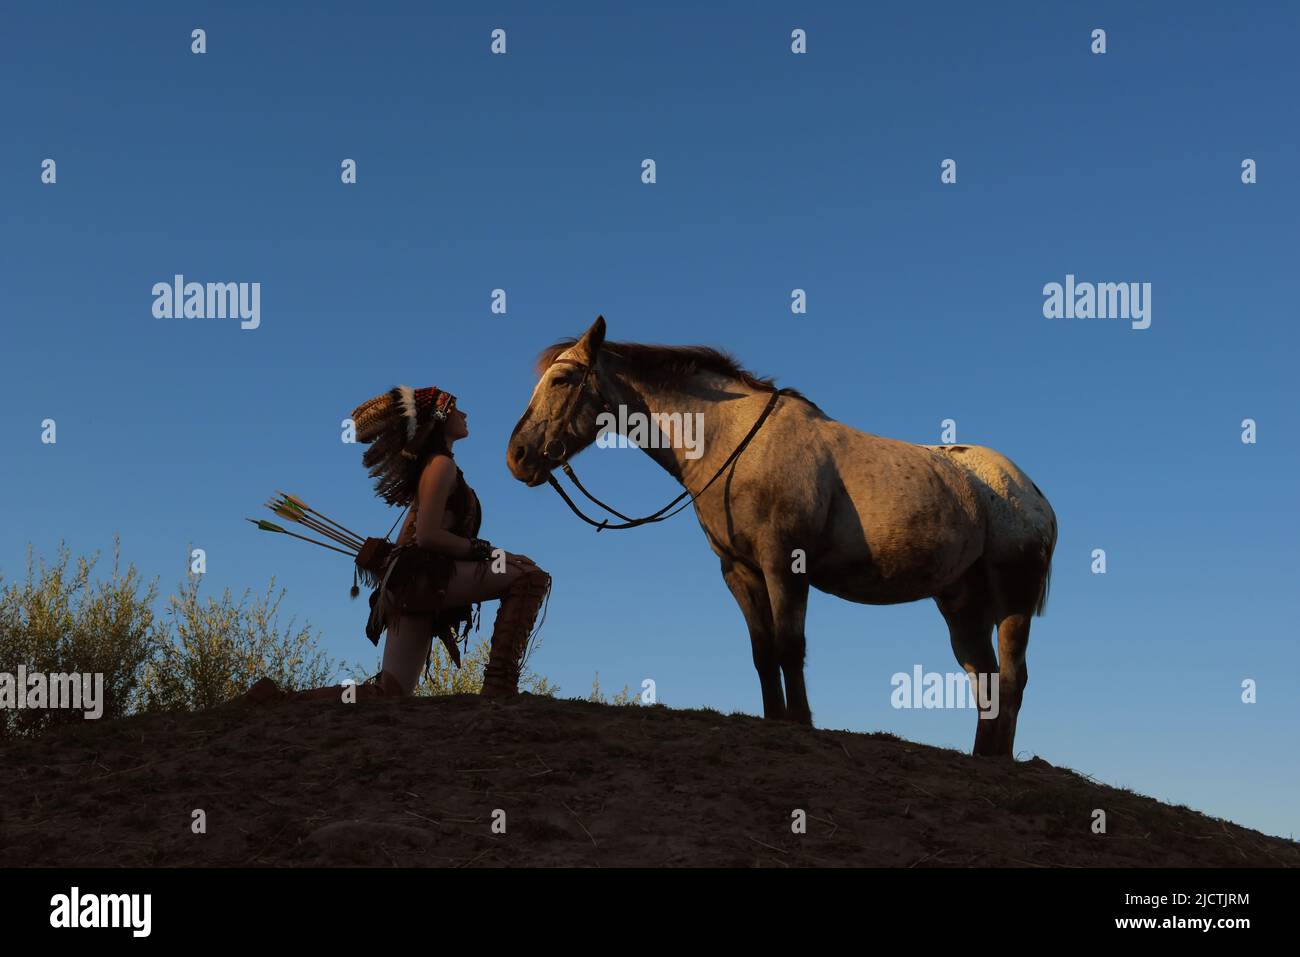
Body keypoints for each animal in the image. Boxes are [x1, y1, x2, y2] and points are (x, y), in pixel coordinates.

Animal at [506, 317, 1055, 759]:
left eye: (562, 379)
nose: (516, 455)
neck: (732, 442)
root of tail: (1031, 493)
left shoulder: (783, 564)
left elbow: (790, 646)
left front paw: (801, 722)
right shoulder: (740, 571)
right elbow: (762, 651)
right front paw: (775, 718)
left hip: (1012, 598)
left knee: (1012, 677)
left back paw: (1001, 760)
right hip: (960, 604)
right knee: (985, 677)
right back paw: (982, 755)